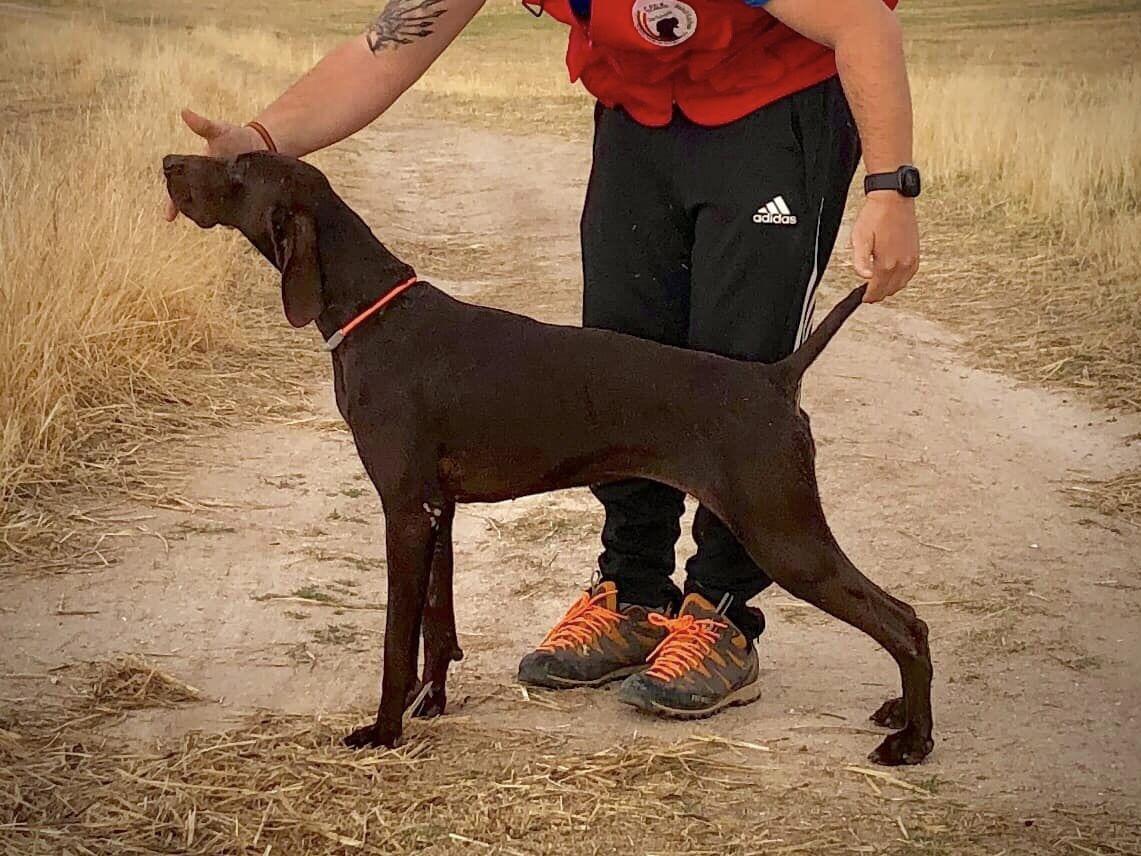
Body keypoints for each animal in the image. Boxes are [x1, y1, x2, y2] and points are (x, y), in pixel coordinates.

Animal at [166, 150, 935, 766]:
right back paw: (902, 717)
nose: (170, 162)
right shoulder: (437, 510)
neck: (372, 314)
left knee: (905, 622)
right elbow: (437, 626)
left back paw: (913, 740)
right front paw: (433, 702)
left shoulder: (403, 512)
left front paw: (383, 732)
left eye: (237, 170)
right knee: (906, 620)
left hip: (782, 533)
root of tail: (773, 377)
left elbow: (394, 641)